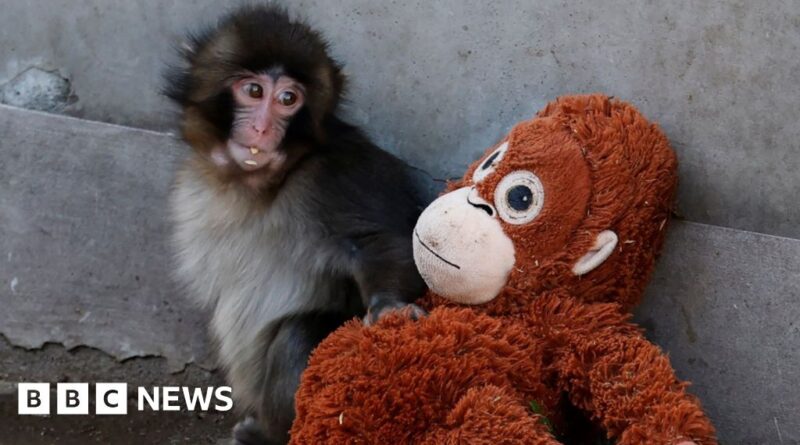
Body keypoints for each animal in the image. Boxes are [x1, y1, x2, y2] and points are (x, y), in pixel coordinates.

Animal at [163, 6, 427, 445]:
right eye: (254, 91)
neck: (260, 185)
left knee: (298, 335)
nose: (262, 128)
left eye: (288, 99)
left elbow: (377, 241)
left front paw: (390, 307)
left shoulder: (334, 176)